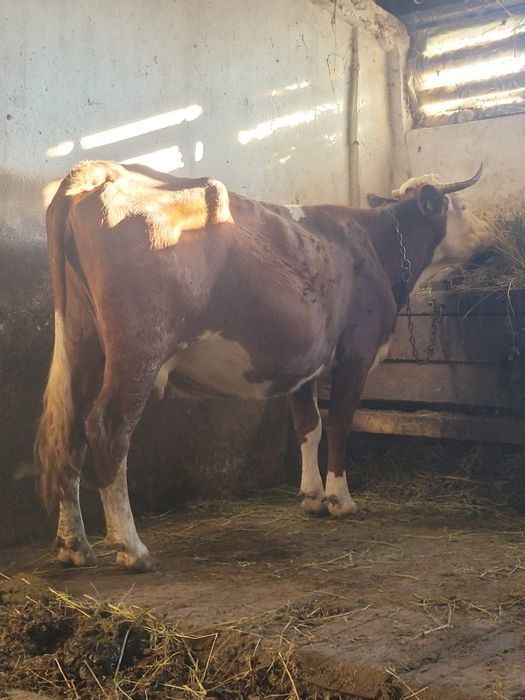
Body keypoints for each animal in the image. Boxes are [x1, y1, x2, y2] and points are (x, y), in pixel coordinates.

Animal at [35, 160, 488, 572]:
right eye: (463, 206)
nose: (490, 237)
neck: (374, 246)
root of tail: (99, 170)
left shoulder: (306, 362)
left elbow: (308, 426)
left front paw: (311, 496)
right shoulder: (355, 352)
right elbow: (340, 423)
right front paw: (340, 499)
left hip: (83, 345)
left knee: (69, 433)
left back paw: (74, 545)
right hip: (138, 349)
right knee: (108, 429)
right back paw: (132, 548)